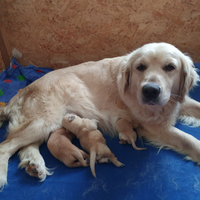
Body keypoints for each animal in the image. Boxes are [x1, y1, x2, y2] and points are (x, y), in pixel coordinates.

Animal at [0, 42, 200, 189]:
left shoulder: (180, 100)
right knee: (6, 147)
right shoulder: (154, 126)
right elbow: (190, 141)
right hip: (44, 120)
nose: (150, 91)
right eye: (140, 67)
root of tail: (20, 92)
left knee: (26, 146)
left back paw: (35, 166)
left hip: (45, 125)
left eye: (170, 67)